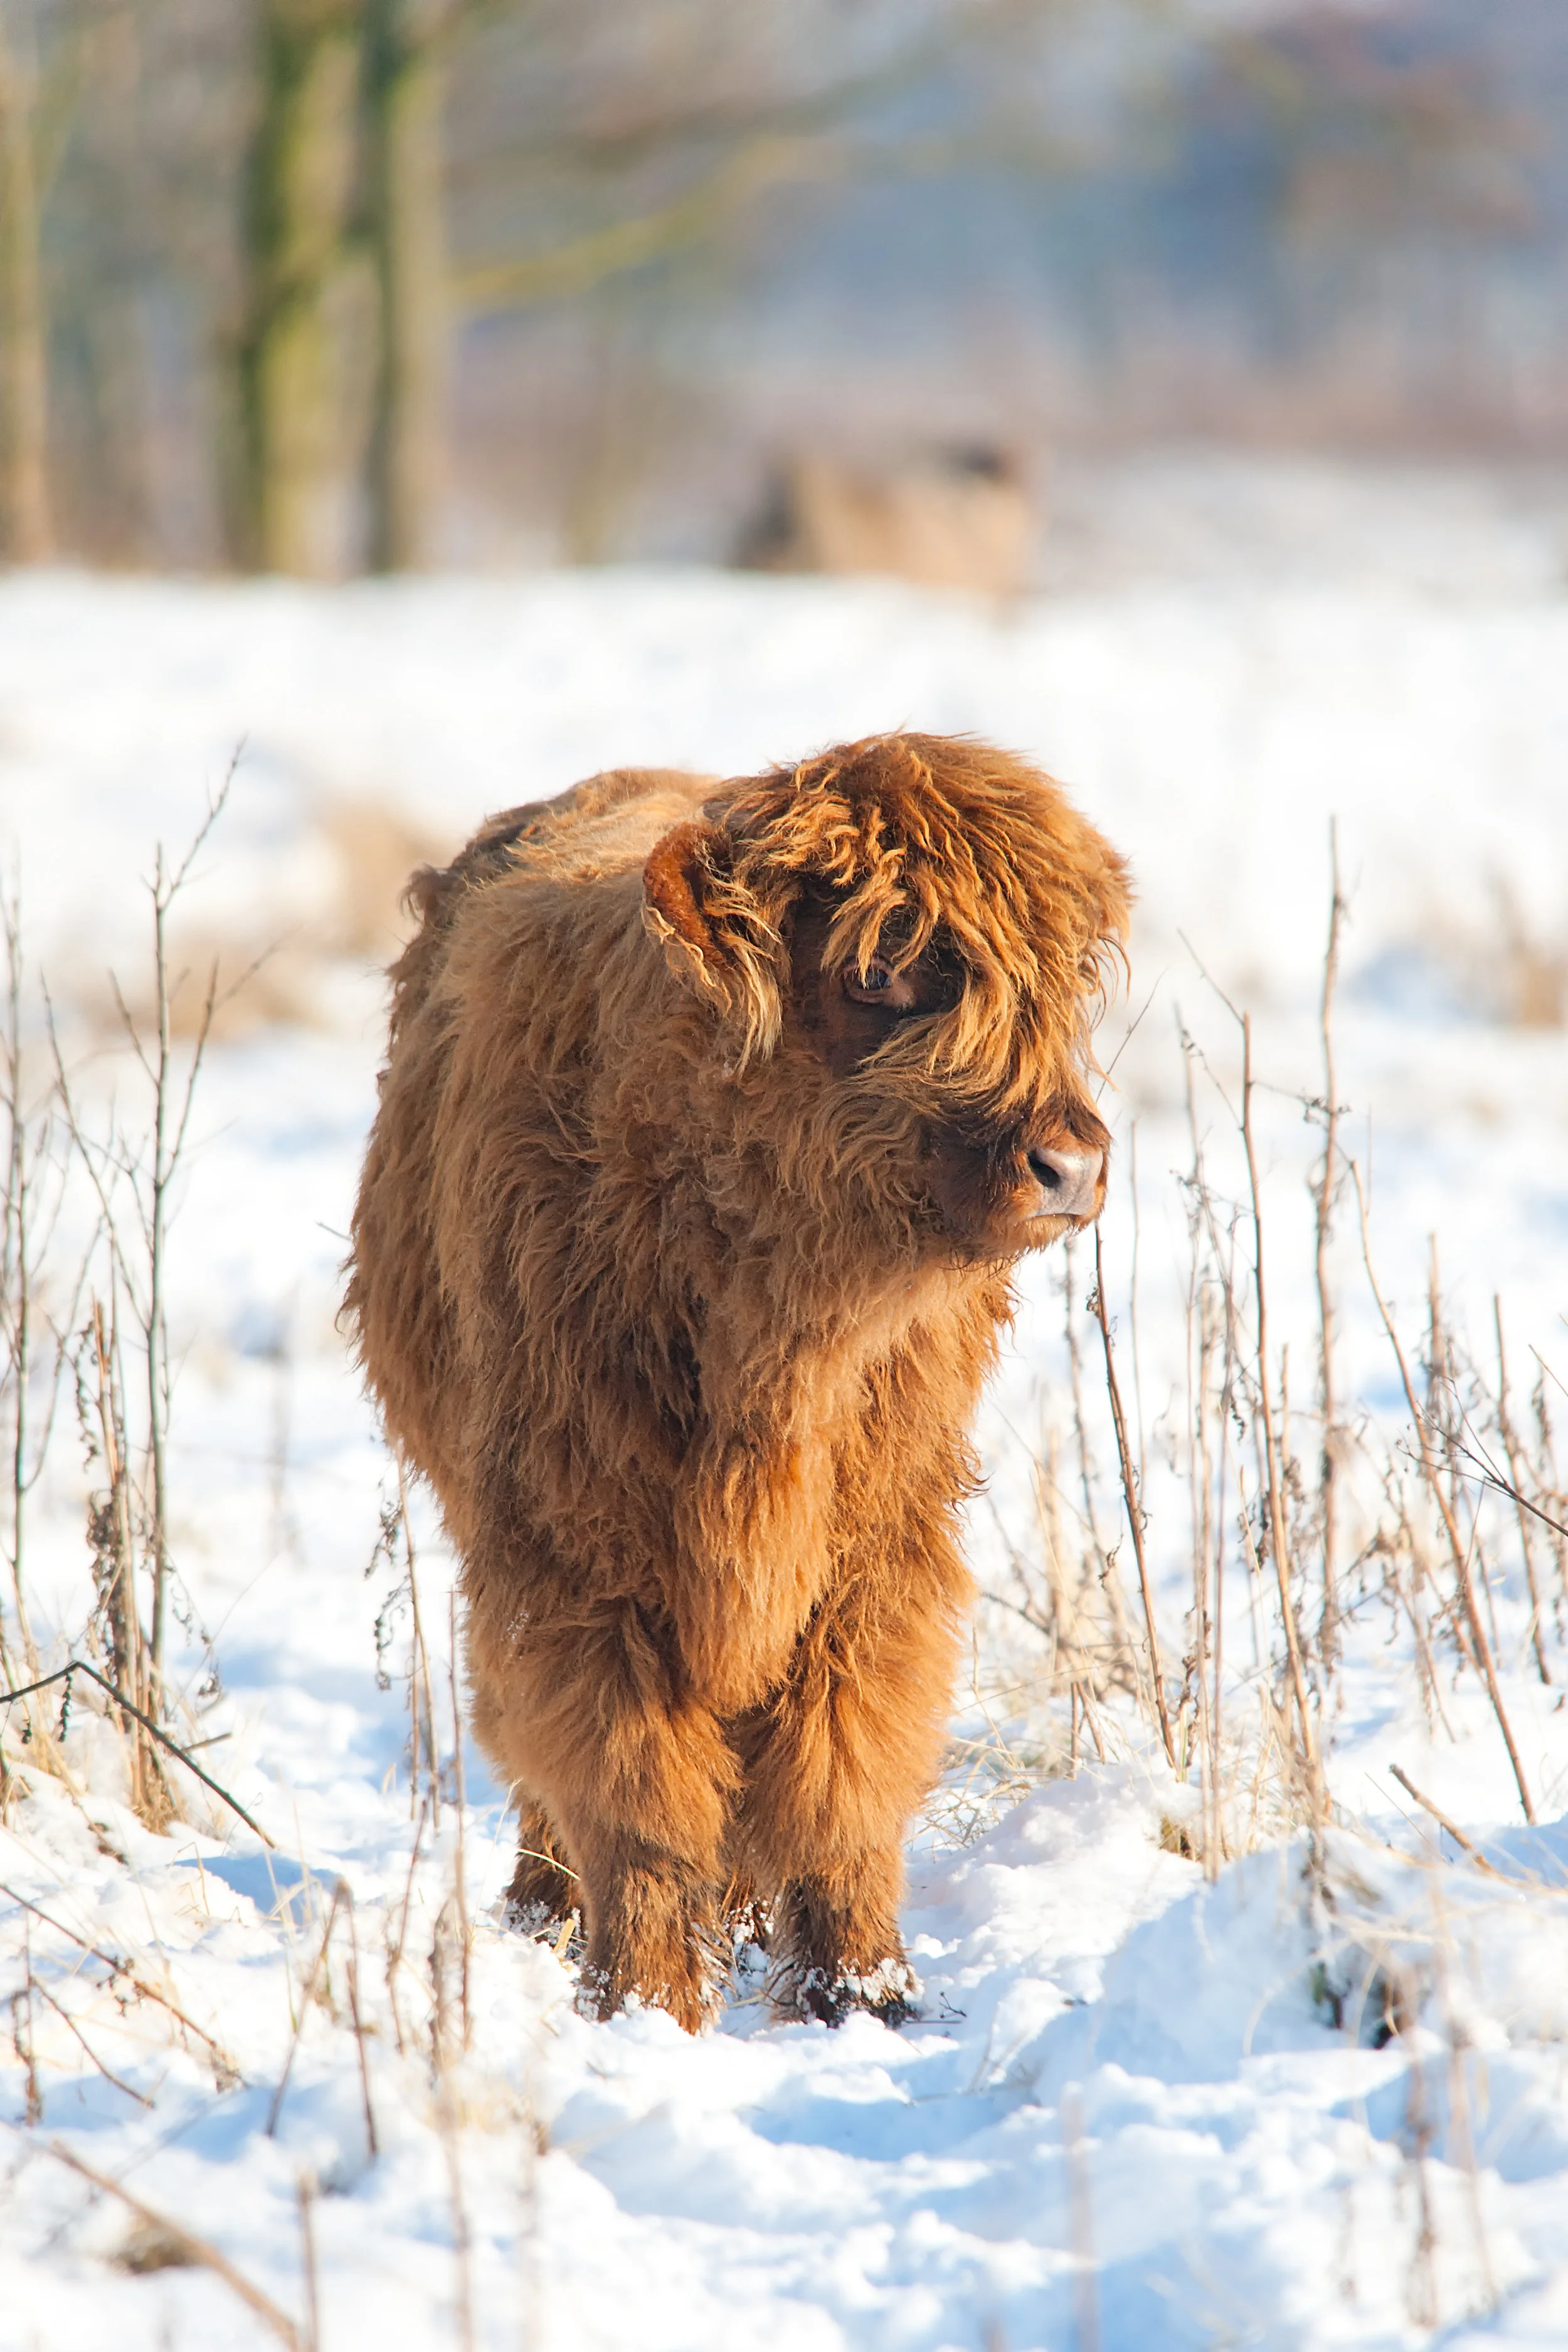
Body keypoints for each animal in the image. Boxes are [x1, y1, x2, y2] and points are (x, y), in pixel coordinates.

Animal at [346, 731, 1129, 2032]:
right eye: (878, 968)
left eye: (1054, 977)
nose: (1068, 1163)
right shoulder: (576, 1545)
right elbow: (633, 1783)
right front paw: (652, 2000)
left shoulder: (878, 1544)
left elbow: (840, 1764)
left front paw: (864, 1990)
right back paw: (547, 1907)